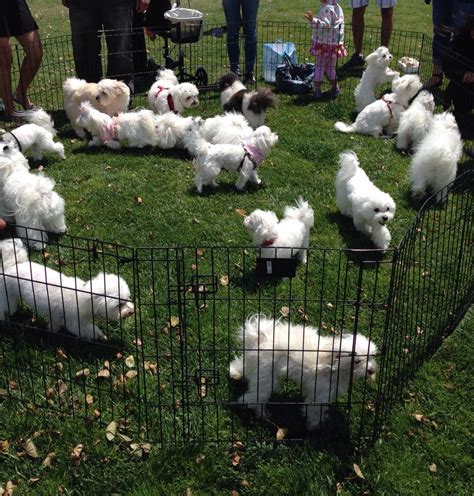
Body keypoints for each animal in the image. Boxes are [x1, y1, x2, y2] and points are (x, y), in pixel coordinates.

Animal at [0, 237, 135, 340]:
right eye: (119, 305)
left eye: (127, 299)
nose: (131, 312)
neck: (84, 296)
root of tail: (11, 266)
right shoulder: (75, 322)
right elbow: (87, 330)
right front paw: (99, 334)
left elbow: (54, 325)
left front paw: (51, 330)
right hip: (8, 299)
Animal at [230, 316, 378, 432]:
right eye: (357, 361)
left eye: (371, 357)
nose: (371, 370)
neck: (332, 365)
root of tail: (262, 338)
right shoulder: (320, 395)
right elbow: (315, 411)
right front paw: (315, 427)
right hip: (266, 378)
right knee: (251, 398)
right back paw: (261, 414)